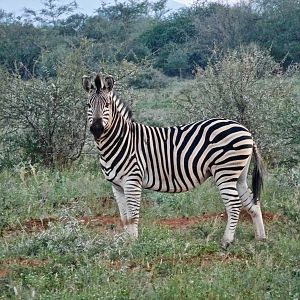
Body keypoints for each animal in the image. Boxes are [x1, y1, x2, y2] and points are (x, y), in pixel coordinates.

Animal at [81, 73, 266, 248]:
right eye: (88, 105)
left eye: (107, 105)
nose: (96, 129)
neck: (121, 141)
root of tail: (246, 131)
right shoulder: (116, 186)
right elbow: (124, 217)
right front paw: (126, 242)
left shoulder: (132, 181)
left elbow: (133, 216)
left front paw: (133, 243)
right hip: (238, 174)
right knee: (252, 202)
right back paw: (261, 238)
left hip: (225, 171)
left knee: (234, 205)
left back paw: (226, 241)